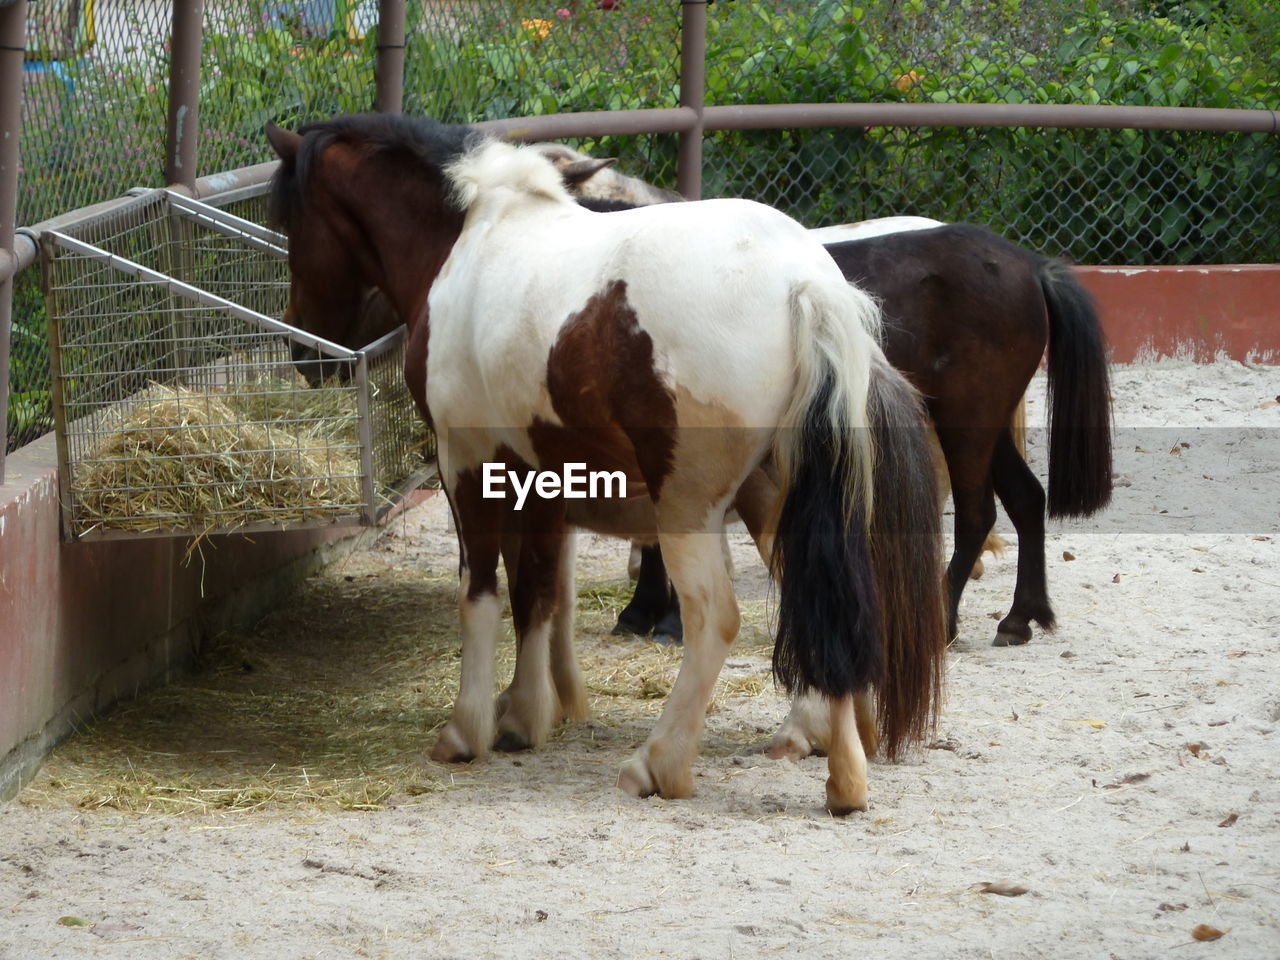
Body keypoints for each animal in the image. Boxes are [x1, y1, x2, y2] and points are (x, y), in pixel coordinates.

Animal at [267, 116, 952, 814]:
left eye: (291, 223)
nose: (301, 351)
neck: (471, 237)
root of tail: (803, 283)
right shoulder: (540, 475)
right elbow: (540, 593)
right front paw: (526, 712)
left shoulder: (468, 463)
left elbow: (482, 594)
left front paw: (469, 728)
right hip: (776, 498)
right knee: (827, 602)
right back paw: (843, 772)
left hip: (688, 509)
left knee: (715, 617)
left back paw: (659, 763)